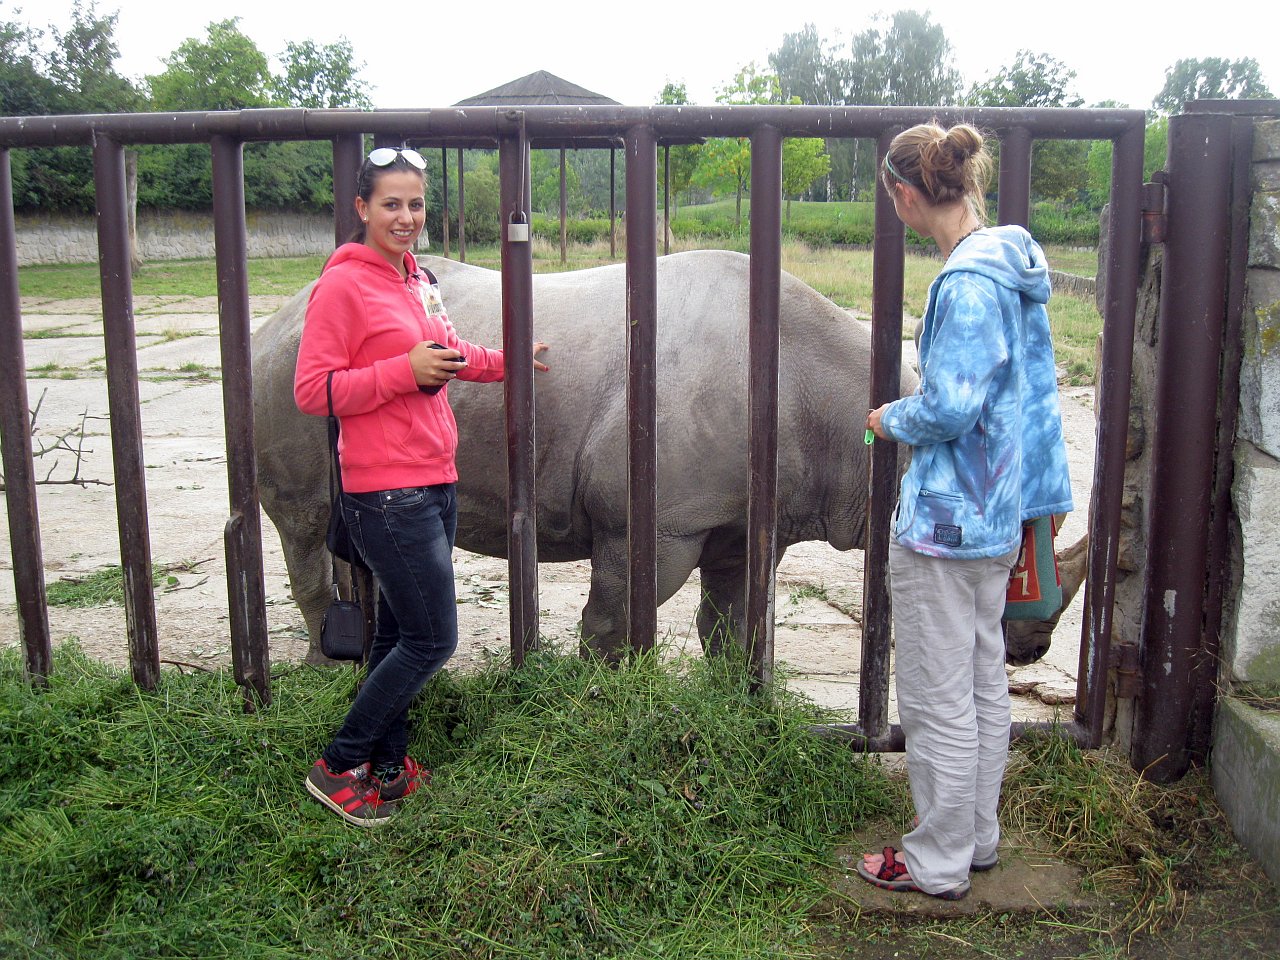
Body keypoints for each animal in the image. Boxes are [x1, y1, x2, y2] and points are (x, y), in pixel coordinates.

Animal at [253, 249, 1054, 666]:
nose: (1028, 650)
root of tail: (281, 312)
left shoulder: (741, 518)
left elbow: (729, 622)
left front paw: (730, 703)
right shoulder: (655, 521)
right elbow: (613, 621)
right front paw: (599, 699)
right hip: (289, 373)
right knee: (305, 525)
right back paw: (328, 672)